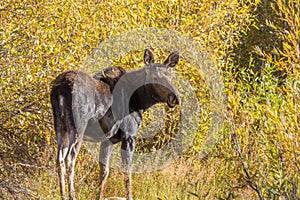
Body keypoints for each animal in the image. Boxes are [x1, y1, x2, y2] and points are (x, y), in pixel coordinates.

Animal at [50, 48, 179, 200]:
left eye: (171, 77)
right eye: (156, 77)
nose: (175, 98)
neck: (141, 101)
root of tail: (60, 88)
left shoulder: (108, 140)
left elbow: (104, 172)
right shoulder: (129, 135)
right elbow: (127, 172)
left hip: (60, 127)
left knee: (59, 160)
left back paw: (63, 195)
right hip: (77, 129)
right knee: (70, 159)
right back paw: (72, 196)